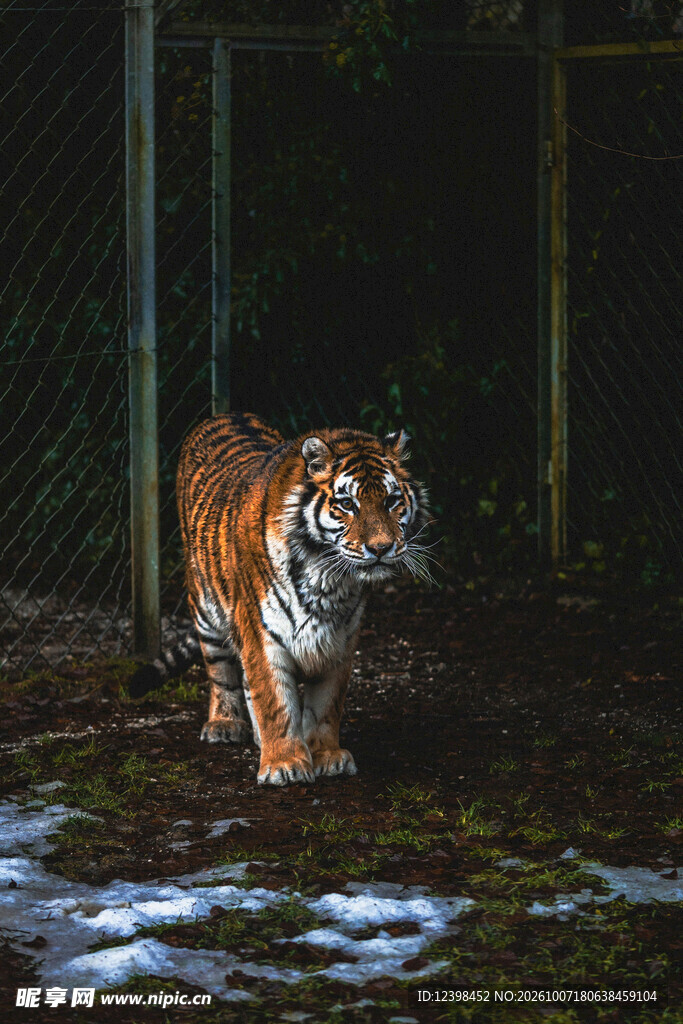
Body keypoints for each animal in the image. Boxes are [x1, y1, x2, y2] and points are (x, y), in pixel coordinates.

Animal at [130, 412, 429, 786]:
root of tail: (223, 415)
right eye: (347, 504)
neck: (329, 579)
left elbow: (326, 704)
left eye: (391, 501)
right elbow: (274, 699)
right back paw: (224, 724)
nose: (381, 548)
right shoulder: (261, 632)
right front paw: (284, 764)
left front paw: (326, 756)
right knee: (220, 669)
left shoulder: (340, 640)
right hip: (205, 605)